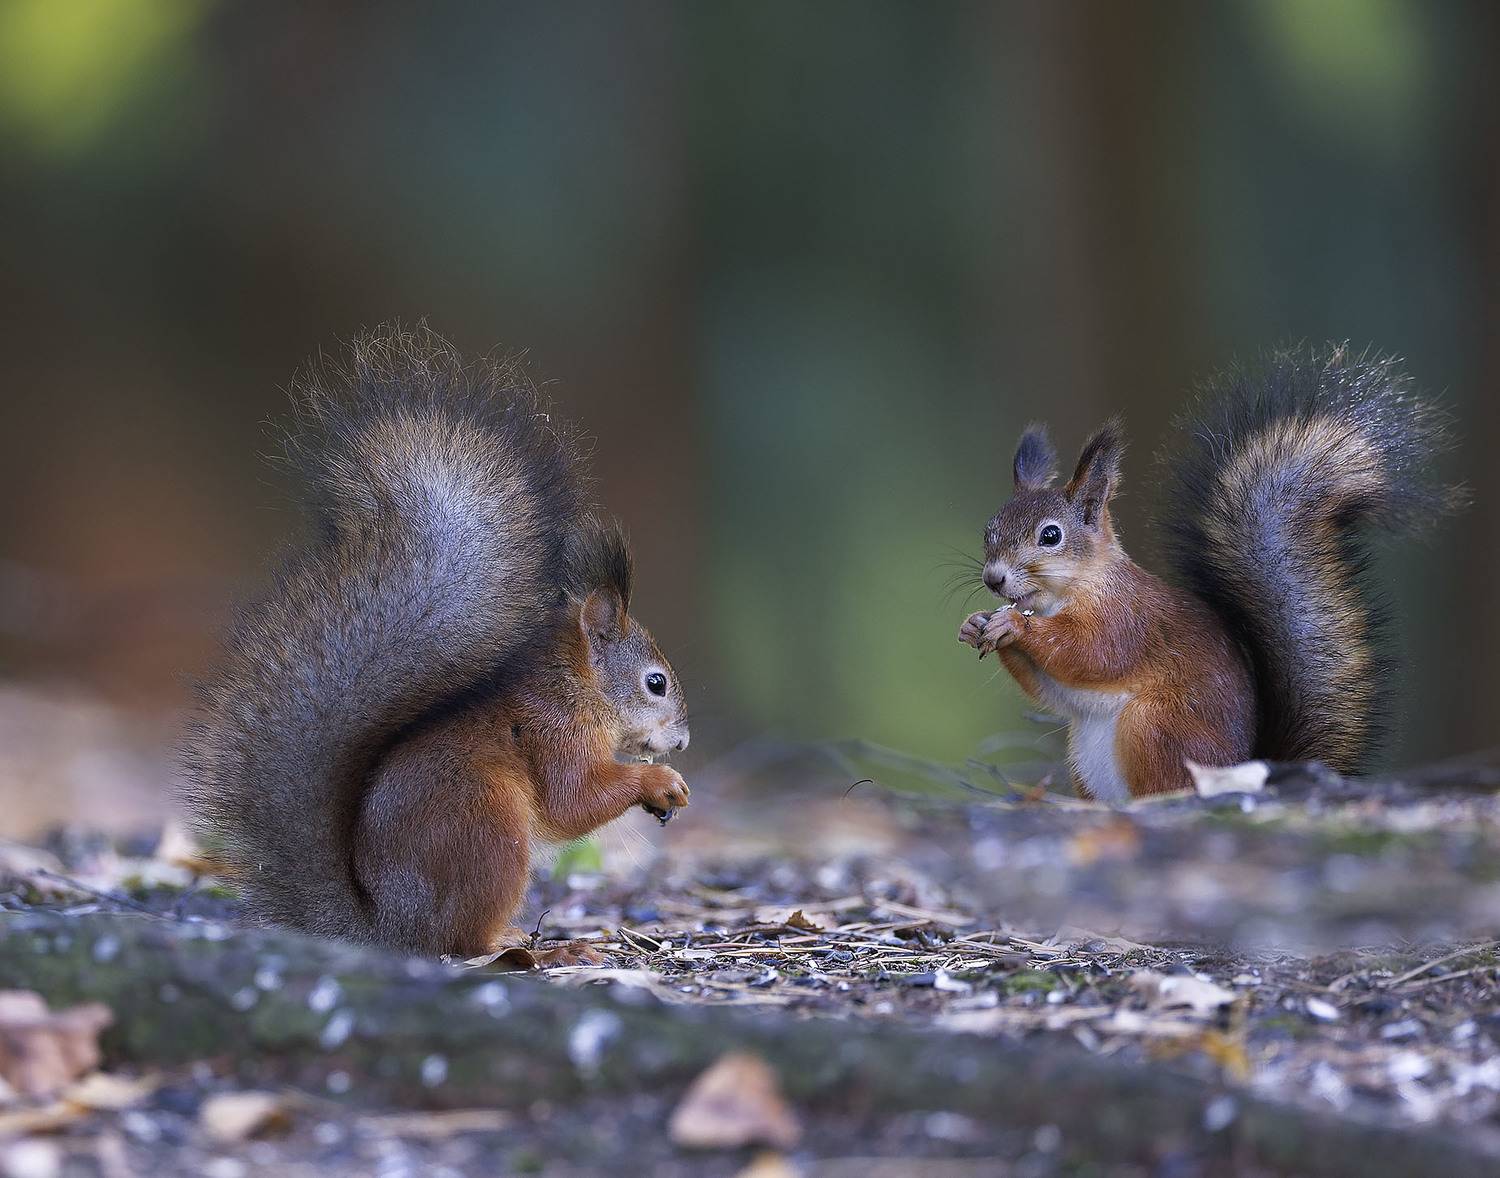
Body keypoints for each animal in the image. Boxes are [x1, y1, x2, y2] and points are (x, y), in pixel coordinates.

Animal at [181, 325, 690, 963]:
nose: (683, 741)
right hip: (488, 831)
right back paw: (543, 949)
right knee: (464, 940)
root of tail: (390, 927)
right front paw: (658, 783)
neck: (579, 687)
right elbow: (571, 801)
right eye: (656, 683)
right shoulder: (555, 734)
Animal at [958, 345, 1462, 801]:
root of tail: (1246, 776)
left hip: (1156, 726)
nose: (993, 580)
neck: (1067, 592)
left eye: (1051, 536)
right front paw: (976, 624)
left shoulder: (1127, 619)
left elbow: (1092, 654)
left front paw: (1014, 624)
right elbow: (1051, 691)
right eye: (989, 529)